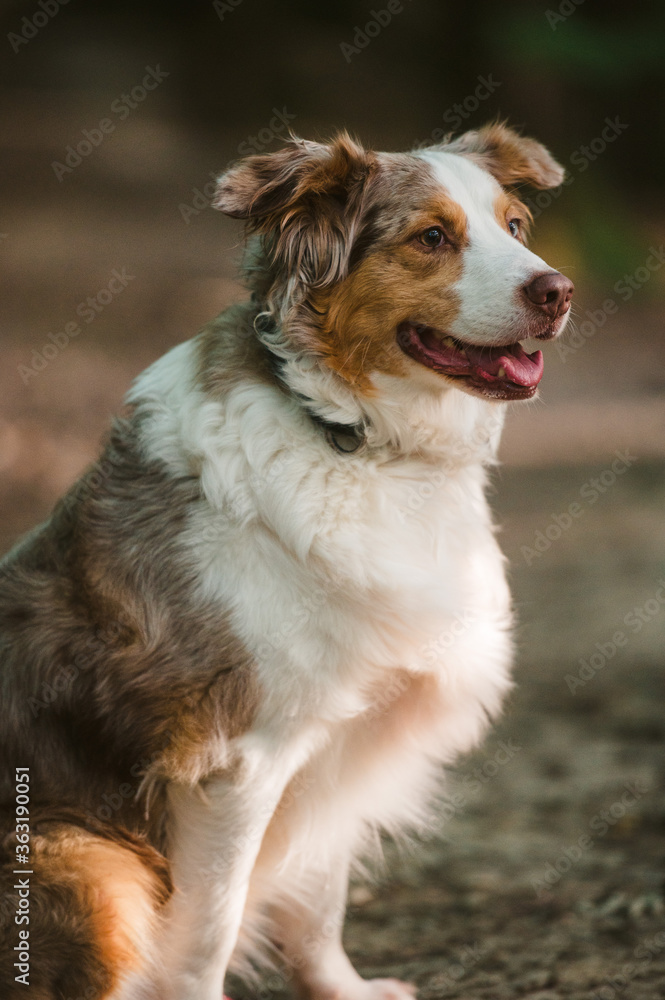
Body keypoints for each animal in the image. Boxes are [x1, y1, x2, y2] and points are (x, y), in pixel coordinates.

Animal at [0, 125, 572, 1000]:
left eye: (514, 226)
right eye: (430, 238)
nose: (557, 291)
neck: (356, 440)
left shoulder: (341, 734)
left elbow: (316, 899)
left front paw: (343, 990)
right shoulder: (237, 759)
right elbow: (207, 933)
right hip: (88, 861)